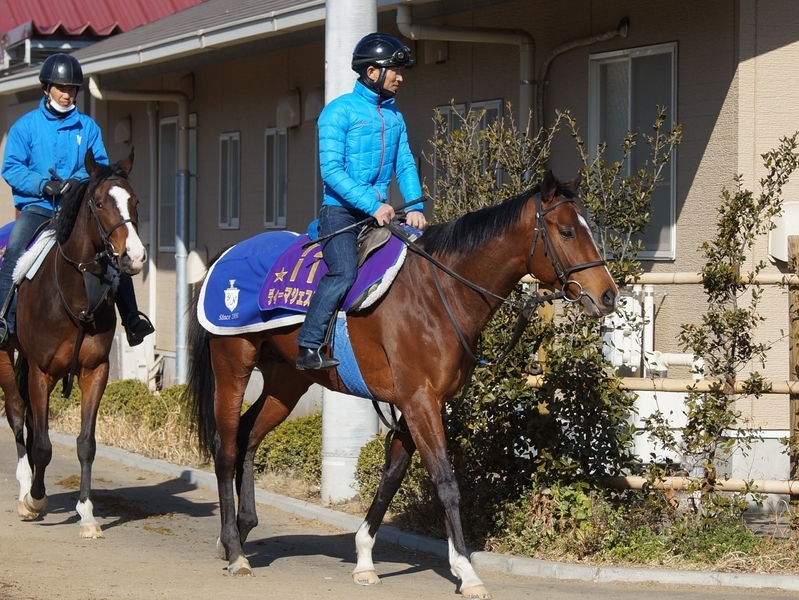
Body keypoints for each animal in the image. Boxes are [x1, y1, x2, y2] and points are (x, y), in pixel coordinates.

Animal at [0, 149, 145, 540]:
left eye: (135, 201)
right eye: (99, 203)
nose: (134, 256)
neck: (75, 292)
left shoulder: (95, 371)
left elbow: (85, 444)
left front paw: (87, 514)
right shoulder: (41, 371)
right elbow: (42, 445)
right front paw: (35, 499)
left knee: (29, 420)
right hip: (4, 356)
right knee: (17, 415)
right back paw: (25, 488)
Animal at [184, 171, 620, 596]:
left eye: (591, 227)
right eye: (567, 231)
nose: (608, 295)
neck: (439, 292)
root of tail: (226, 255)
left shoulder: (421, 404)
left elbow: (391, 477)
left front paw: (364, 560)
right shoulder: (419, 401)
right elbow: (445, 482)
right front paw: (466, 571)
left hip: (286, 382)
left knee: (247, 438)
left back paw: (241, 532)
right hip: (233, 365)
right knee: (226, 448)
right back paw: (235, 549)